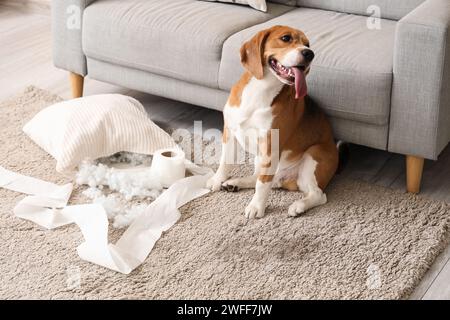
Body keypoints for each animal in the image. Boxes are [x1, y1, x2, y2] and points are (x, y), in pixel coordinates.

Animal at [207, 26, 338, 219]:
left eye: (307, 44)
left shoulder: (270, 147)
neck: (260, 90)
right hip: (261, 160)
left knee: (318, 195)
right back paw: (235, 183)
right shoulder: (229, 132)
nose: (310, 54)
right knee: (261, 178)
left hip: (312, 157)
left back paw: (298, 206)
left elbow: (262, 185)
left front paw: (256, 207)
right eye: (286, 38)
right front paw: (217, 180)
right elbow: (225, 162)